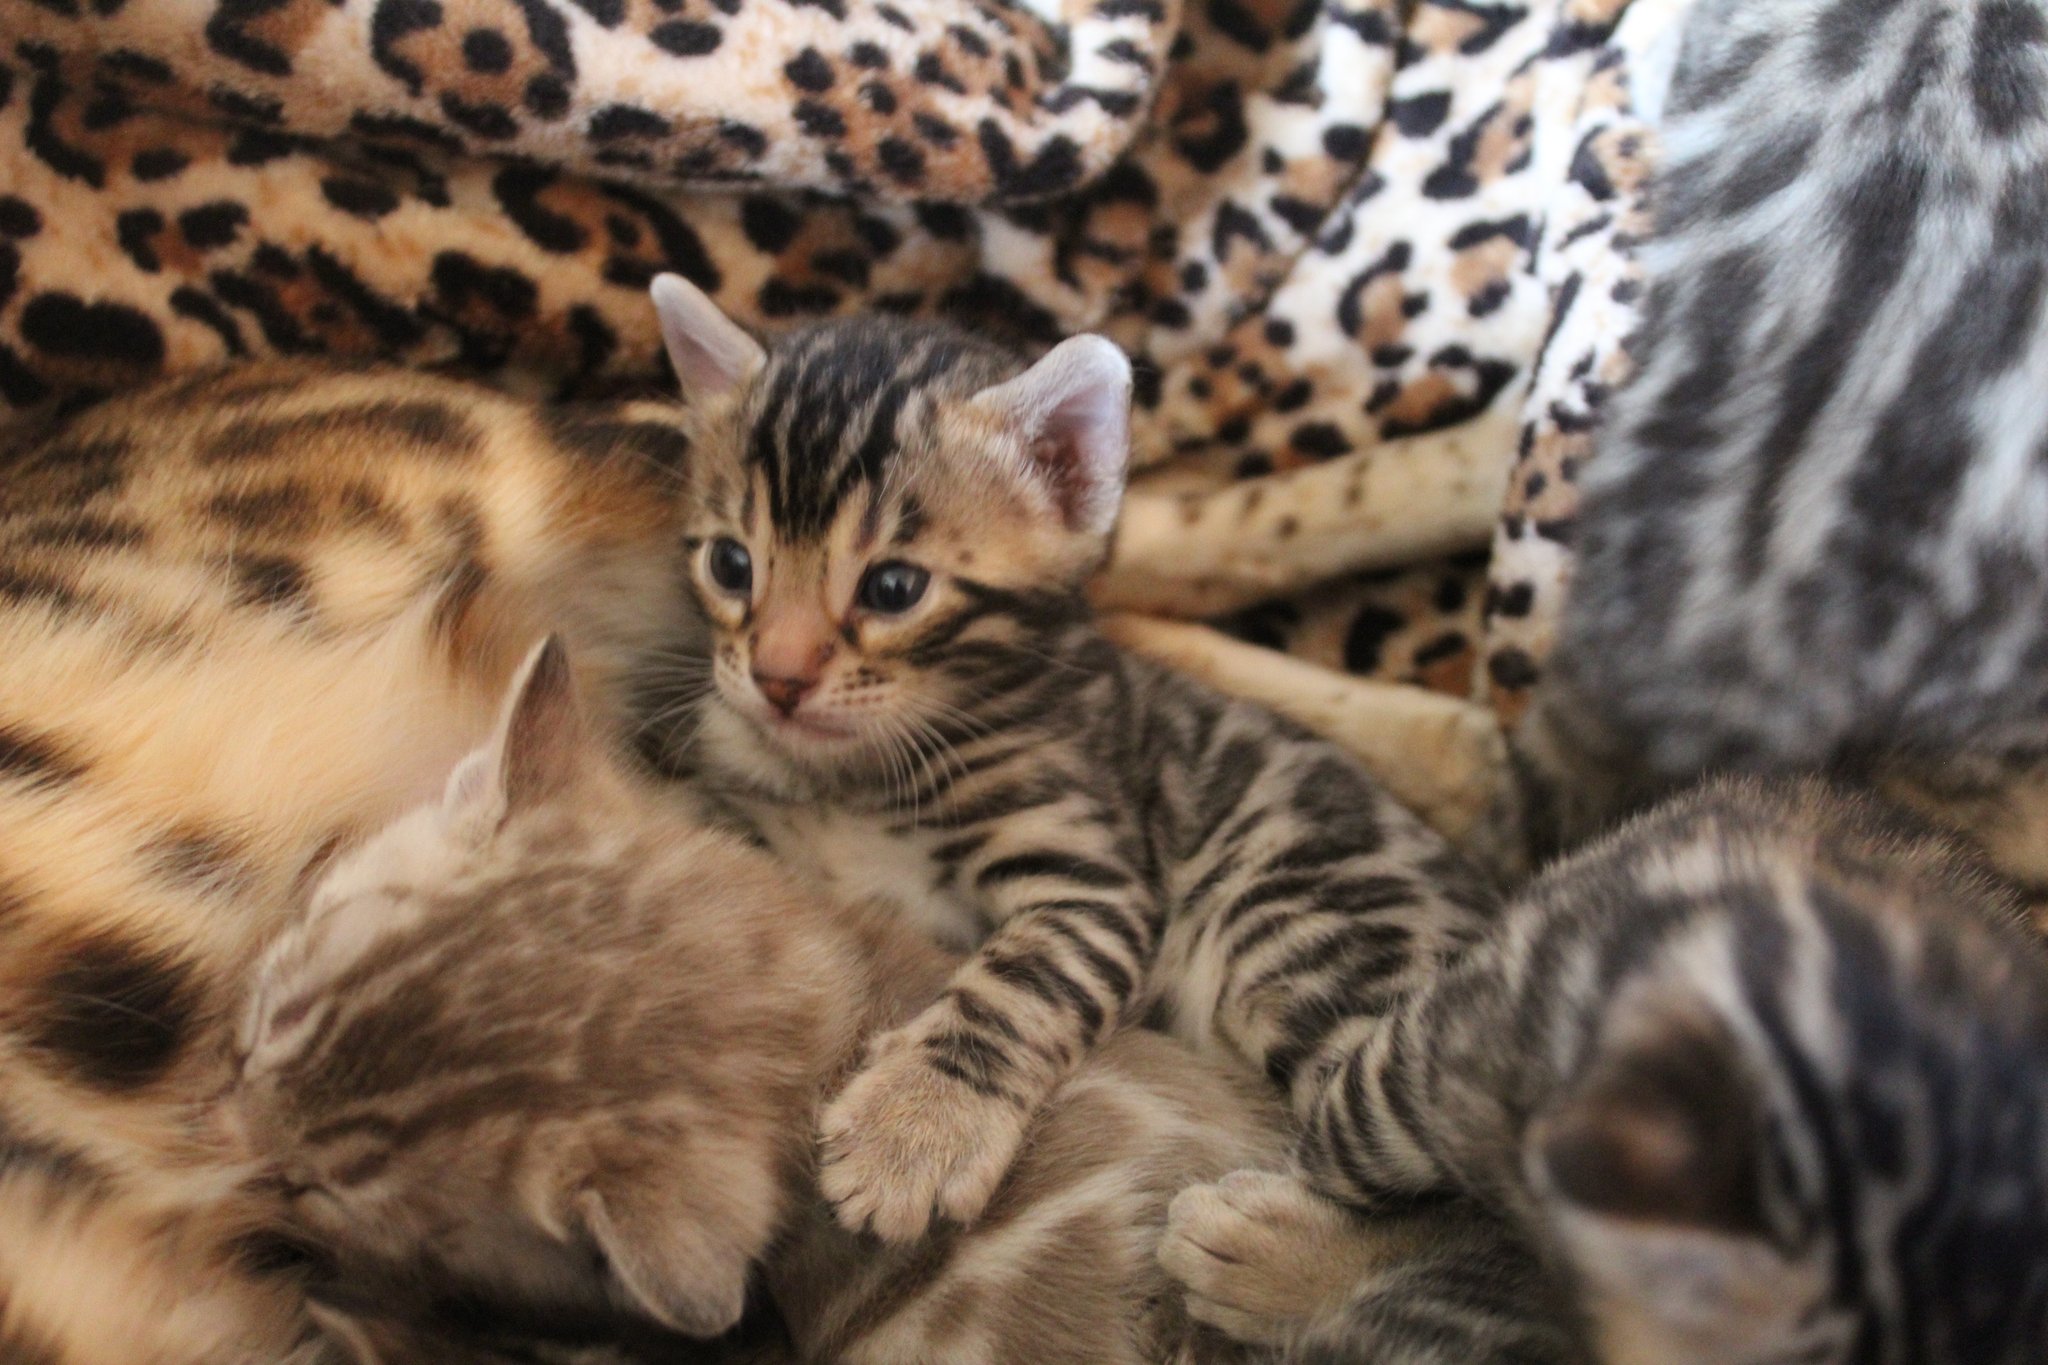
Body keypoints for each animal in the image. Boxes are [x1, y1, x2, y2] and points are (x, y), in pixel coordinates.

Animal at [638, 273, 1502, 1246]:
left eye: (894, 587)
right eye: (730, 564)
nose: (778, 679)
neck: (858, 773)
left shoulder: (1094, 879)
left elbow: (1021, 981)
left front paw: (916, 1128)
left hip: (1305, 934)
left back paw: (1250, 1246)